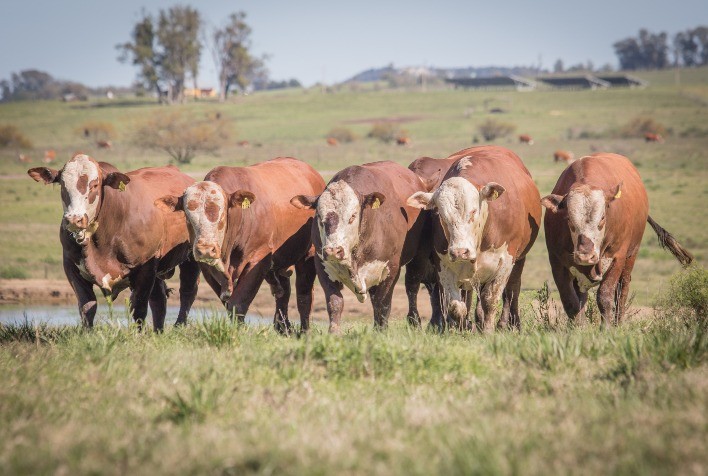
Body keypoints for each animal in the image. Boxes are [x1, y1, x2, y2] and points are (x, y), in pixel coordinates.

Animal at [27, 154, 199, 330]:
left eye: (95, 185)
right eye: (62, 184)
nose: (74, 219)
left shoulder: (146, 268)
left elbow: (139, 308)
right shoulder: (71, 267)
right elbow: (87, 307)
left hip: (190, 258)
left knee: (187, 292)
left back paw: (179, 325)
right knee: (159, 300)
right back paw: (158, 331)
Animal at [156, 158, 324, 332]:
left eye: (222, 215)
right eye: (188, 217)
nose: (206, 250)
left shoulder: (259, 259)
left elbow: (238, 303)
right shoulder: (207, 269)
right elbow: (228, 302)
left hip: (308, 255)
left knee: (304, 296)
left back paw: (304, 331)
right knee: (283, 293)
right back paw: (283, 328)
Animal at [290, 162, 434, 332]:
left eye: (353, 216)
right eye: (319, 216)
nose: (333, 251)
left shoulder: (391, 269)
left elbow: (383, 305)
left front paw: (381, 332)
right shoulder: (323, 266)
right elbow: (335, 303)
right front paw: (334, 332)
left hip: (419, 257)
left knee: (412, 287)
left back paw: (415, 322)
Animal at [406, 145, 540, 330]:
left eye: (473, 211)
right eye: (440, 214)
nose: (460, 251)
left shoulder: (505, 262)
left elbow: (491, 300)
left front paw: (488, 331)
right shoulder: (443, 265)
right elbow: (456, 305)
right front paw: (462, 326)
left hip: (519, 259)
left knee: (512, 290)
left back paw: (508, 323)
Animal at [544, 154, 692, 326]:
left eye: (602, 218)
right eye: (569, 219)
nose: (585, 255)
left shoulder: (617, 258)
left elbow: (605, 297)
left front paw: (607, 328)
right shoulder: (557, 263)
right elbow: (571, 303)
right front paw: (579, 328)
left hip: (631, 256)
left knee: (622, 291)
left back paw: (618, 322)